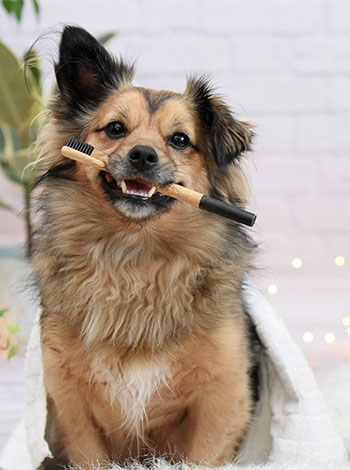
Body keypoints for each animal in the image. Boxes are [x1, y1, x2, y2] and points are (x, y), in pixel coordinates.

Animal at [32, 26, 260, 470]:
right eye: (115, 129)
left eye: (180, 140)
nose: (142, 154)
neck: (134, 257)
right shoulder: (69, 399)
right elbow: (88, 452)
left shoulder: (225, 398)